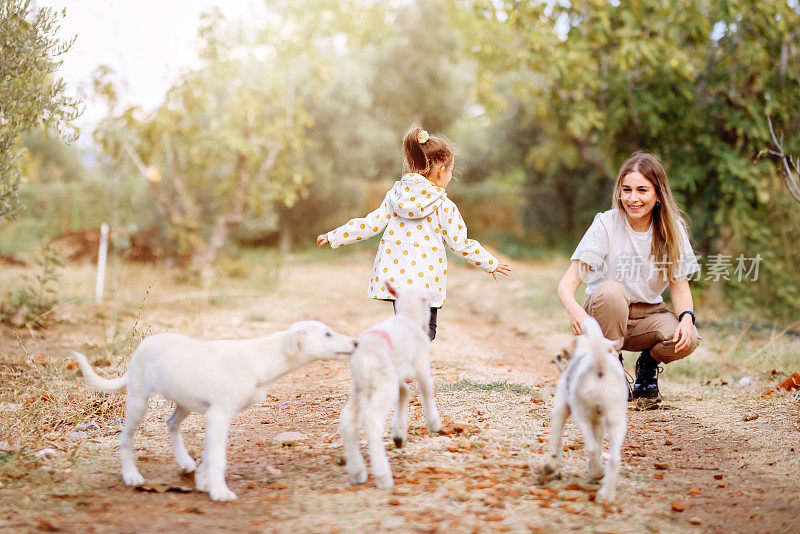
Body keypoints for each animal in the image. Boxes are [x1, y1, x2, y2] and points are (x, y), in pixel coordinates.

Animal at [74, 322, 356, 502]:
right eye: (327, 334)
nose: (355, 342)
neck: (261, 358)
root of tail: (142, 346)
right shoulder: (219, 416)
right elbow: (218, 458)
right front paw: (219, 492)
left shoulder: (214, 417)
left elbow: (210, 456)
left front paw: (203, 481)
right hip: (138, 403)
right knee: (125, 439)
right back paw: (132, 476)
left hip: (185, 403)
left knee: (171, 423)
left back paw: (184, 462)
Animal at [340, 284, 444, 490]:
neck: (409, 318)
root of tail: (364, 359)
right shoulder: (420, 364)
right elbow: (426, 390)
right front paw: (434, 424)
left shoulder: (398, 375)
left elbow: (404, 392)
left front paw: (399, 434)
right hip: (383, 385)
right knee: (372, 419)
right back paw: (383, 475)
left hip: (360, 388)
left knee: (348, 419)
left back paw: (357, 472)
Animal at [540, 318, 628, 506]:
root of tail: (599, 363)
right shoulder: (599, 421)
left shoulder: (560, 410)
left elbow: (554, 444)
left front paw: (548, 470)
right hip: (615, 420)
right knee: (614, 459)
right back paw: (605, 494)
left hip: (581, 416)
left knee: (592, 448)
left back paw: (597, 474)